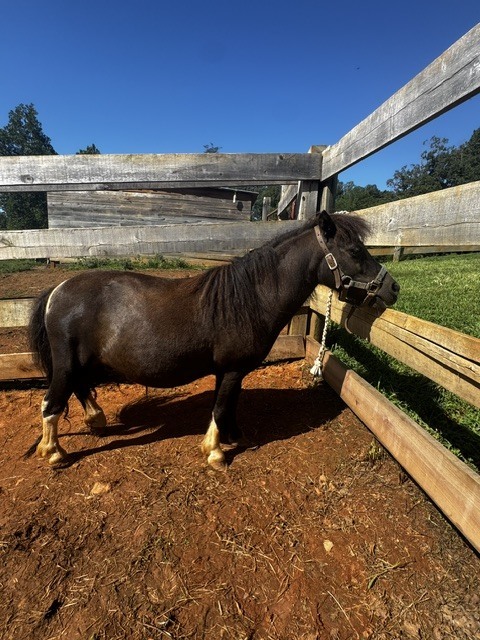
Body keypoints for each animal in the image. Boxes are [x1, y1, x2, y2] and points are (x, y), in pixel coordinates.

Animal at [29, 210, 400, 470]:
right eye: (355, 250)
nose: (392, 288)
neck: (250, 298)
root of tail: (57, 290)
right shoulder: (233, 369)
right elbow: (220, 408)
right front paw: (216, 453)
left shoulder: (229, 371)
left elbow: (228, 406)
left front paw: (233, 437)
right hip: (67, 363)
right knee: (51, 403)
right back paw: (54, 453)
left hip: (80, 361)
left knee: (78, 388)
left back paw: (96, 421)